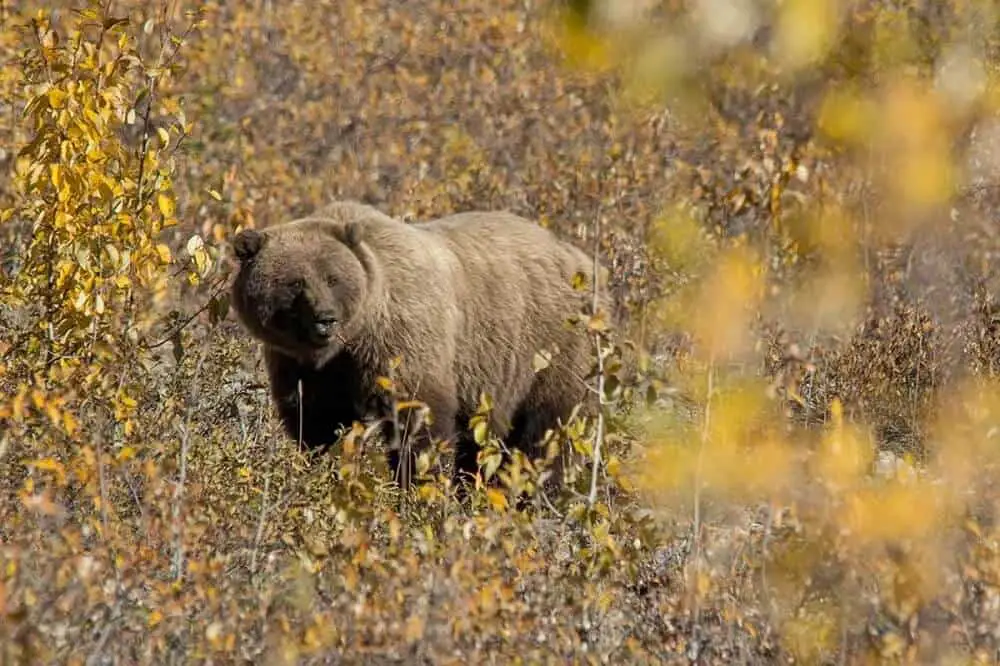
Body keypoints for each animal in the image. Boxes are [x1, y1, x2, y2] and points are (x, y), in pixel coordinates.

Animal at [232, 200, 608, 496]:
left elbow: (419, 422)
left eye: (332, 278)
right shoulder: (303, 368)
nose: (326, 319)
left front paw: (416, 489)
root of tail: (582, 257)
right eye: (294, 282)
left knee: (548, 434)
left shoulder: (401, 344)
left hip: (551, 348)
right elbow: (316, 425)